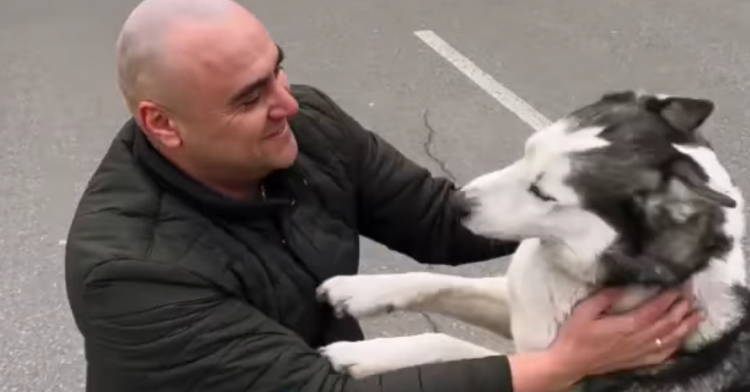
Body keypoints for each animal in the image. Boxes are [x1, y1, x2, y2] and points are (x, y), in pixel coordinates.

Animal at [316, 92, 750, 392]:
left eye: (543, 193)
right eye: (527, 150)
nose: (456, 204)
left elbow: (450, 343)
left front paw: (360, 354)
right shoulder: (520, 305)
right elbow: (438, 282)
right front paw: (359, 290)